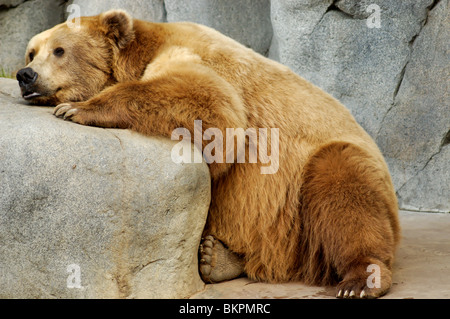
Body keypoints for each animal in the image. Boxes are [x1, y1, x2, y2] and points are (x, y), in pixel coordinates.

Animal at [15, 10, 400, 300]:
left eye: (59, 50)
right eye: (32, 51)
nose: (24, 75)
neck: (140, 51)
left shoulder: (193, 56)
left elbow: (211, 103)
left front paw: (77, 108)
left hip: (312, 182)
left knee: (343, 184)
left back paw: (361, 279)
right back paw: (216, 257)